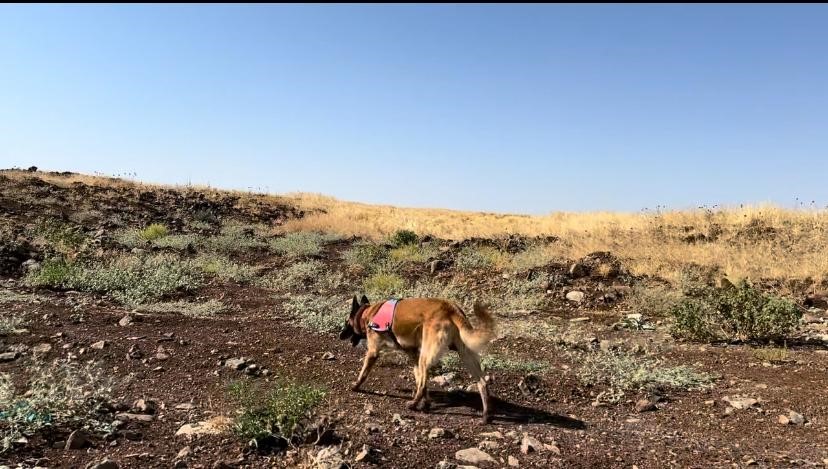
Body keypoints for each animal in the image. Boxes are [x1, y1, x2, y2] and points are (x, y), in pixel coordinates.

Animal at [340, 294, 494, 422]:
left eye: (347, 322)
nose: (340, 335)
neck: (368, 314)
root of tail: (451, 308)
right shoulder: (413, 355)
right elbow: (419, 378)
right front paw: (426, 403)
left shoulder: (373, 352)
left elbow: (363, 373)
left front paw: (355, 386)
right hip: (464, 355)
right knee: (482, 383)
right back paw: (486, 415)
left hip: (426, 358)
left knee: (423, 383)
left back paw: (413, 404)